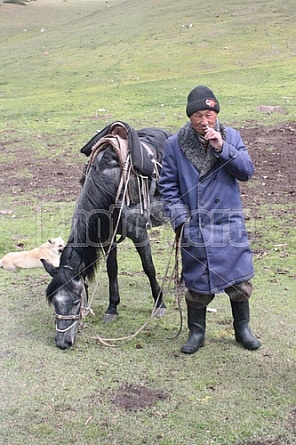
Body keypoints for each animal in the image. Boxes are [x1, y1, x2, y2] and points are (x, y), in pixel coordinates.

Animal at [41, 122, 171, 350]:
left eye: (76, 301)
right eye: (54, 302)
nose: (62, 343)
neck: (110, 183)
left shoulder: (139, 233)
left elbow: (149, 267)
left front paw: (160, 304)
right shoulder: (108, 238)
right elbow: (112, 270)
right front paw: (112, 308)